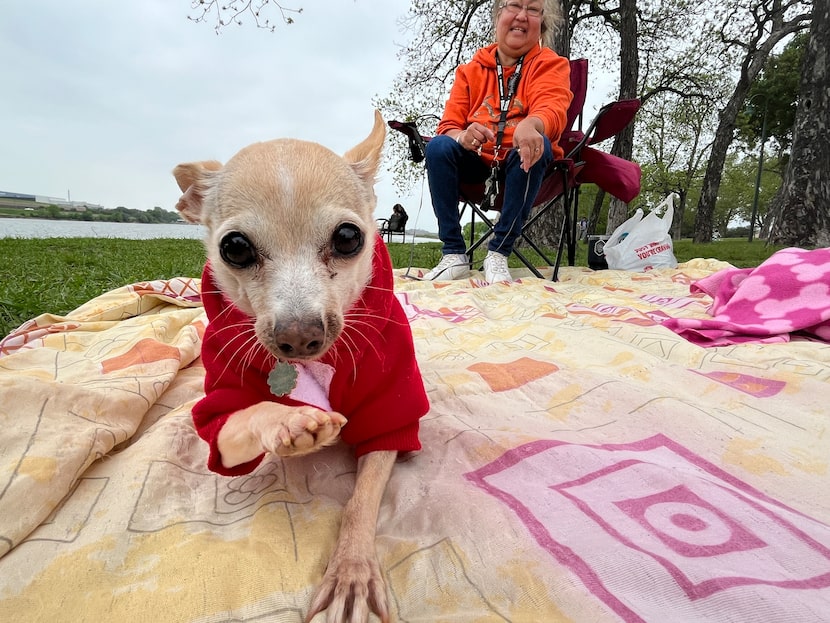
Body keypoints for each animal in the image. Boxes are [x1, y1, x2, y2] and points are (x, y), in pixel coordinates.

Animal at [171, 112, 428, 623]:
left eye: (348, 238)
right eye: (234, 247)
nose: (298, 335)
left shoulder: (389, 420)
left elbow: (361, 501)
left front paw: (351, 569)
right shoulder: (222, 417)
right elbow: (243, 416)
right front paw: (287, 421)